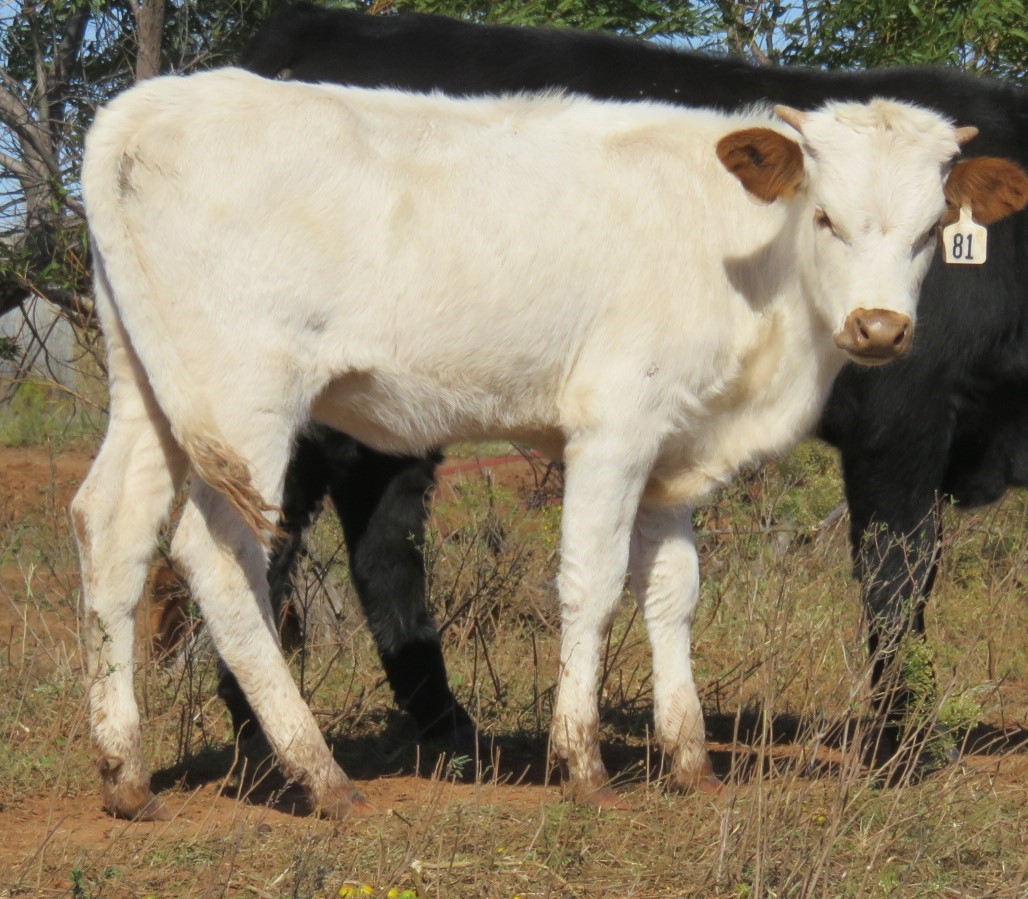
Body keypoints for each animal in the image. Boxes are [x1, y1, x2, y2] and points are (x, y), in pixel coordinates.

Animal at [74, 66, 1026, 819]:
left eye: (930, 232)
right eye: (826, 218)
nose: (880, 328)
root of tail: (154, 101)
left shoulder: (674, 445)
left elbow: (674, 593)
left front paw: (690, 759)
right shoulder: (614, 422)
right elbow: (594, 584)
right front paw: (584, 761)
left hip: (151, 387)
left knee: (111, 527)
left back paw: (126, 774)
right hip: (248, 400)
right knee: (219, 555)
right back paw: (318, 773)